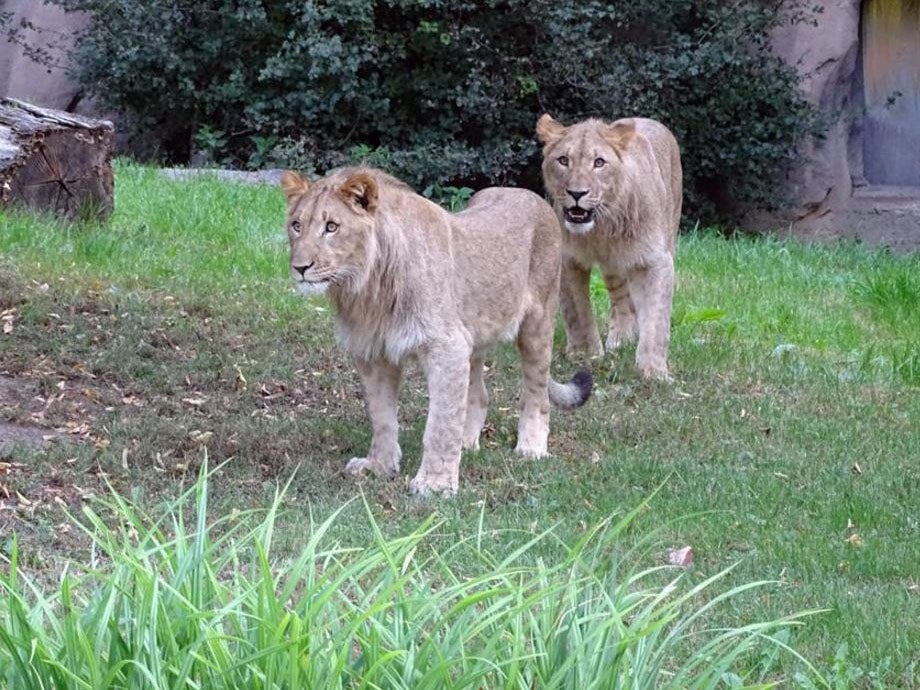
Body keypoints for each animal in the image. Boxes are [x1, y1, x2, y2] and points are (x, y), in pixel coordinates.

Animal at [278, 167, 588, 494]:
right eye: (296, 225)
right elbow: (381, 415)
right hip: (474, 334)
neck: (367, 288)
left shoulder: (447, 346)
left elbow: (441, 421)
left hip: (538, 322)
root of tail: (532, 196)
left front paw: (436, 484)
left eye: (332, 227)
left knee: (536, 393)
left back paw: (531, 447)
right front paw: (379, 466)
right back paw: (466, 443)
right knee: (479, 394)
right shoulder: (373, 352)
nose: (300, 267)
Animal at [536, 115, 680, 378]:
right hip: (613, 268)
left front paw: (653, 370)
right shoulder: (568, 259)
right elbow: (578, 311)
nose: (577, 193)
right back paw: (620, 338)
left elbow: (656, 317)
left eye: (599, 162)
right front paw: (586, 354)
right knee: (621, 300)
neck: (601, 228)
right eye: (563, 160)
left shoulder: (656, 260)